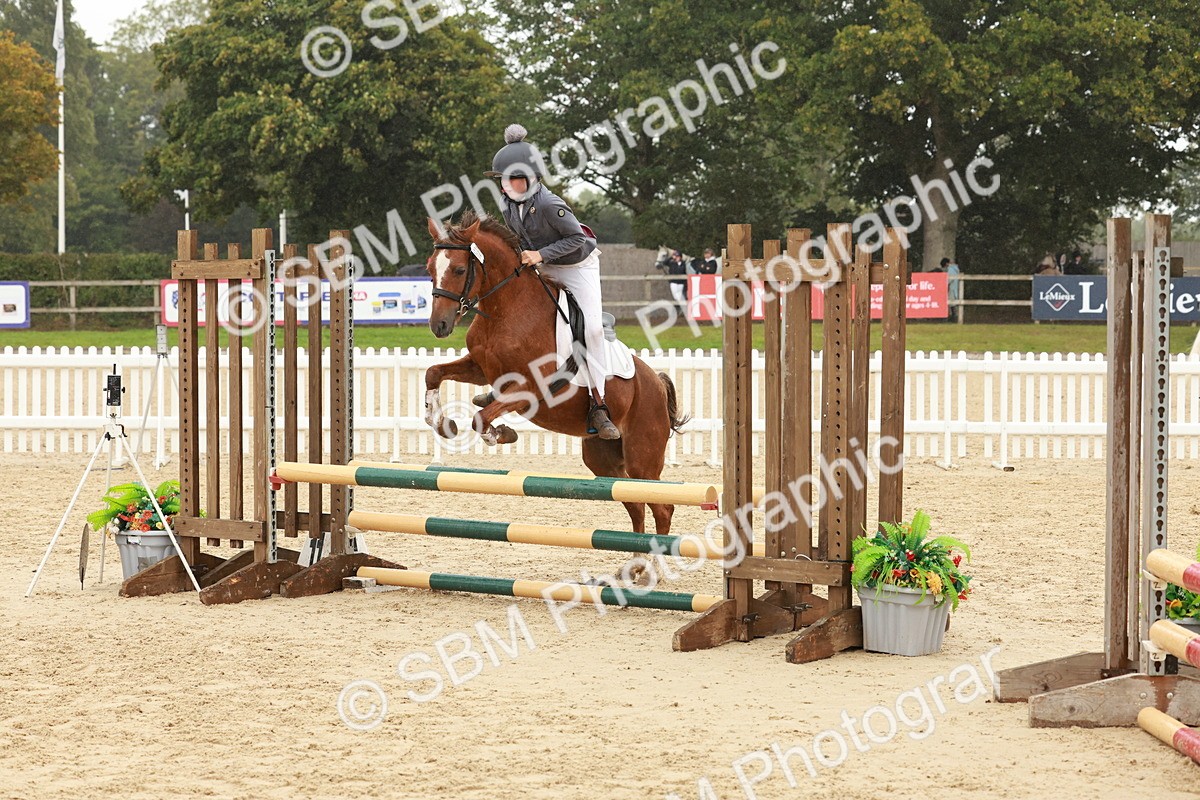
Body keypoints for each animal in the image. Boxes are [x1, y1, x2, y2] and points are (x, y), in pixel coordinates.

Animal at [422, 211, 688, 538]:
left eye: (459, 269)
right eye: (430, 269)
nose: (439, 325)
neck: (506, 310)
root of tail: (657, 384)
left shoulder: (530, 388)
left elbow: (481, 418)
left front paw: (501, 433)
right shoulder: (480, 369)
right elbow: (434, 373)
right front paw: (439, 421)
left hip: (643, 458)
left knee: (662, 507)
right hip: (603, 459)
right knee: (635, 504)